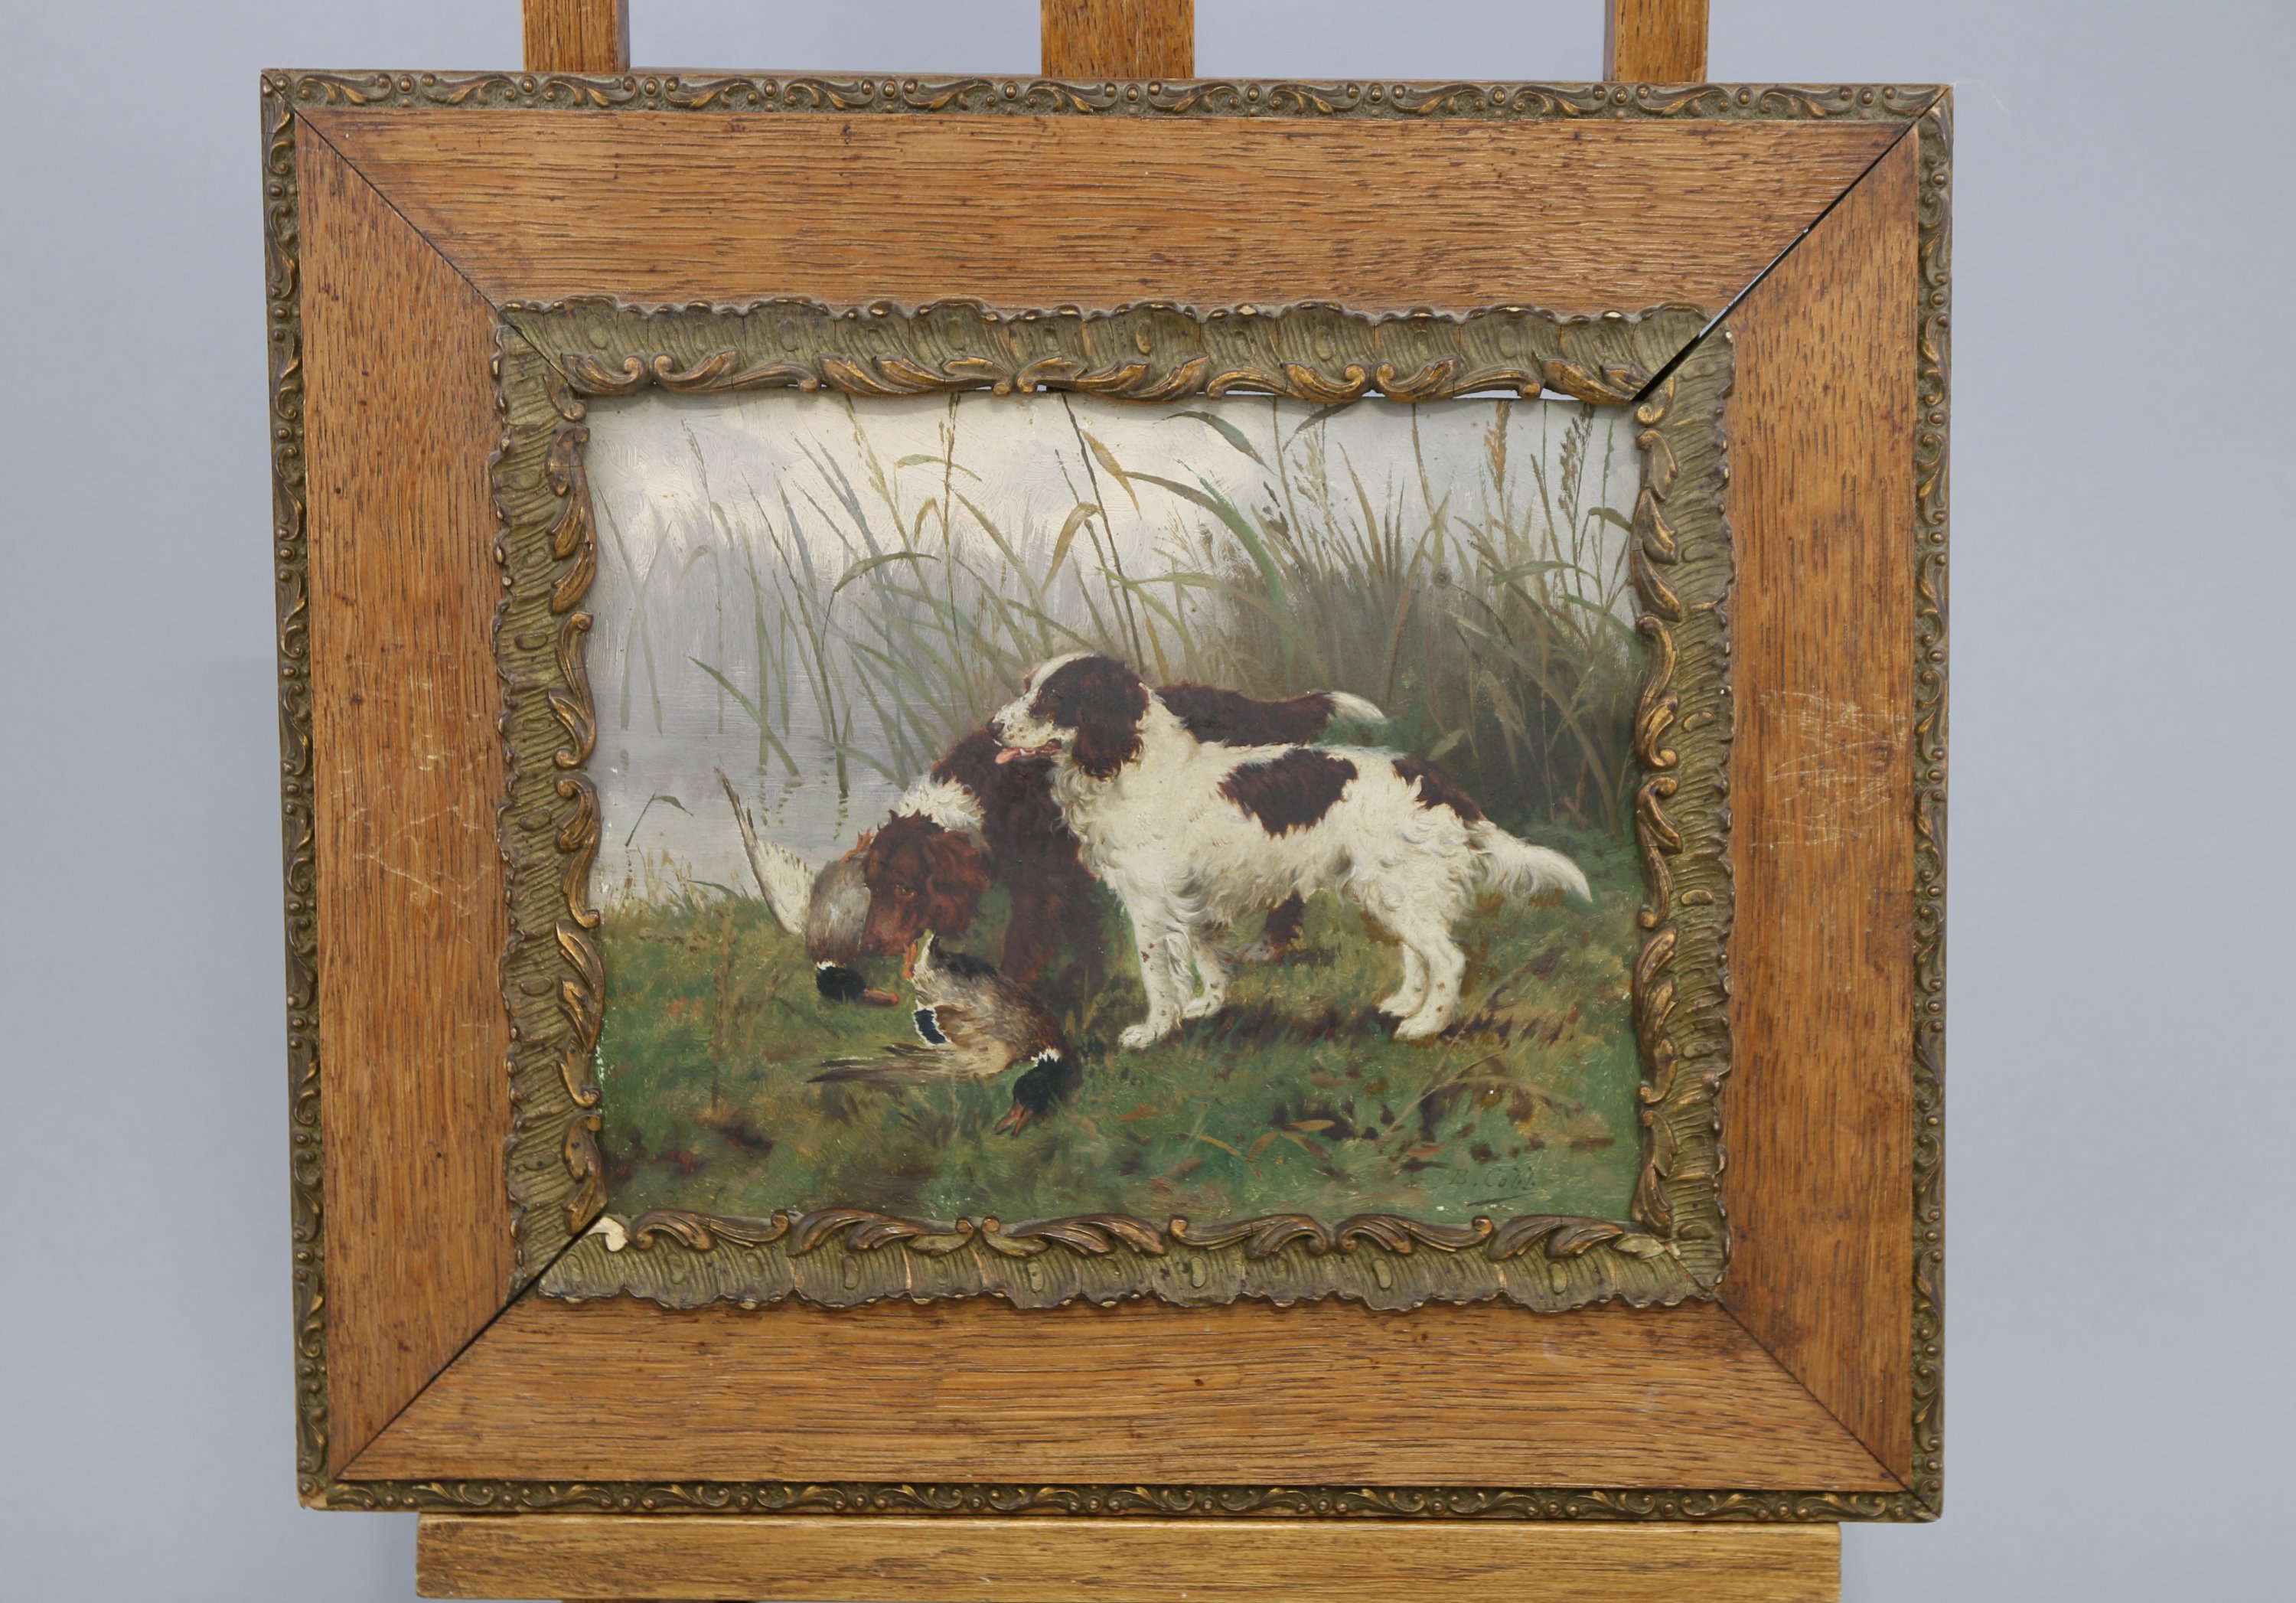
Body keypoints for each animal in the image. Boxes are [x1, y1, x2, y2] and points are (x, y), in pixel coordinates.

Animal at [853, 682, 1384, 985]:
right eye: (873, 886)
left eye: (906, 888)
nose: (868, 947)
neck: (986, 789)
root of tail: (1261, 710)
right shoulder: (1069, 877)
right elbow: (1084, 932)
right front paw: (1087, 977)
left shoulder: (1041, 883)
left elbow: (1026, 942)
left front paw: (1011, 989)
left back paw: (1265, 946)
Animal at [992, 654, 1591, 1046]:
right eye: (1026, 687)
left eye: (1053, 698)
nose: (994, 727)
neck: (1135, 769)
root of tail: (1436, 780)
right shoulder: (1195, 899)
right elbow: (1208, 957)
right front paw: (1207, 1006)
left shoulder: (1152, 904)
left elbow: (1156, 973)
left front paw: (1155, 1029)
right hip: (1392, 888)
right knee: (1418, 952)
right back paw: (1404, 1004)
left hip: (1398, 885)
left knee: (1447, 957)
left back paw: (1426, 1024)